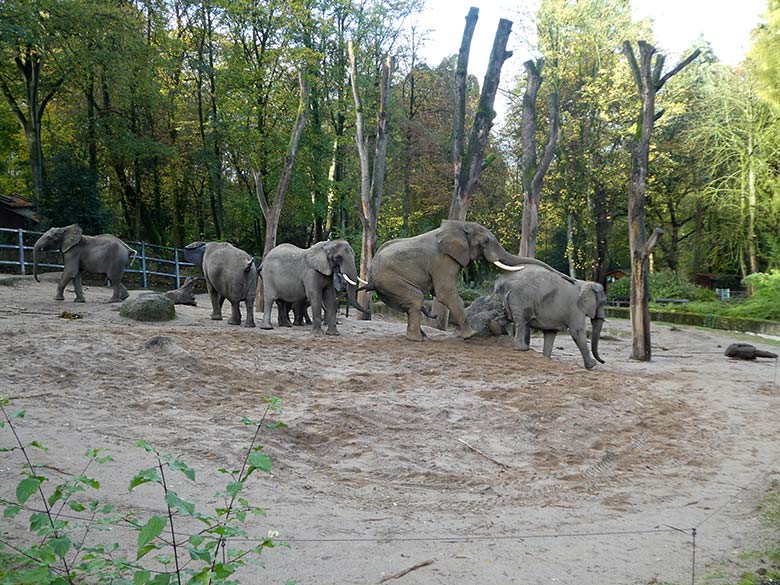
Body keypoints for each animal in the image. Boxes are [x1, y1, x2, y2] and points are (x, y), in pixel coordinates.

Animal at [364, 219, 572, 340]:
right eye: (486, 242)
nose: (570, 280)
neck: (459, 227)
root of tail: (371, 269)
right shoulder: (444, 260)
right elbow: (445, 292)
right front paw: (471, 334)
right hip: (391, 279)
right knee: (416, 299)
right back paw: (417, 339)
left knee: (410, 303)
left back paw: (420, 336)